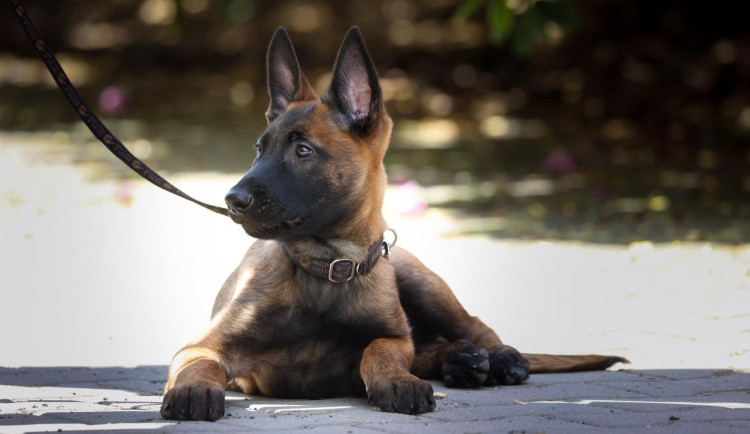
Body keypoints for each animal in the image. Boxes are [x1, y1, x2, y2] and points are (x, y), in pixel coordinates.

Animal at [160, 26, 628, 420]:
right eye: (260, 150)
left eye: (303, 151)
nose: (232, 200)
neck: (329, 267)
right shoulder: (203, 346)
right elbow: (198, 365)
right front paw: (192, 390)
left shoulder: (392, 336)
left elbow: (379, 350)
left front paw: (397, 380)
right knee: (435, 347)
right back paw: (463, 361)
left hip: (419, 280)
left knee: (473, 327)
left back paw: (500, 358)